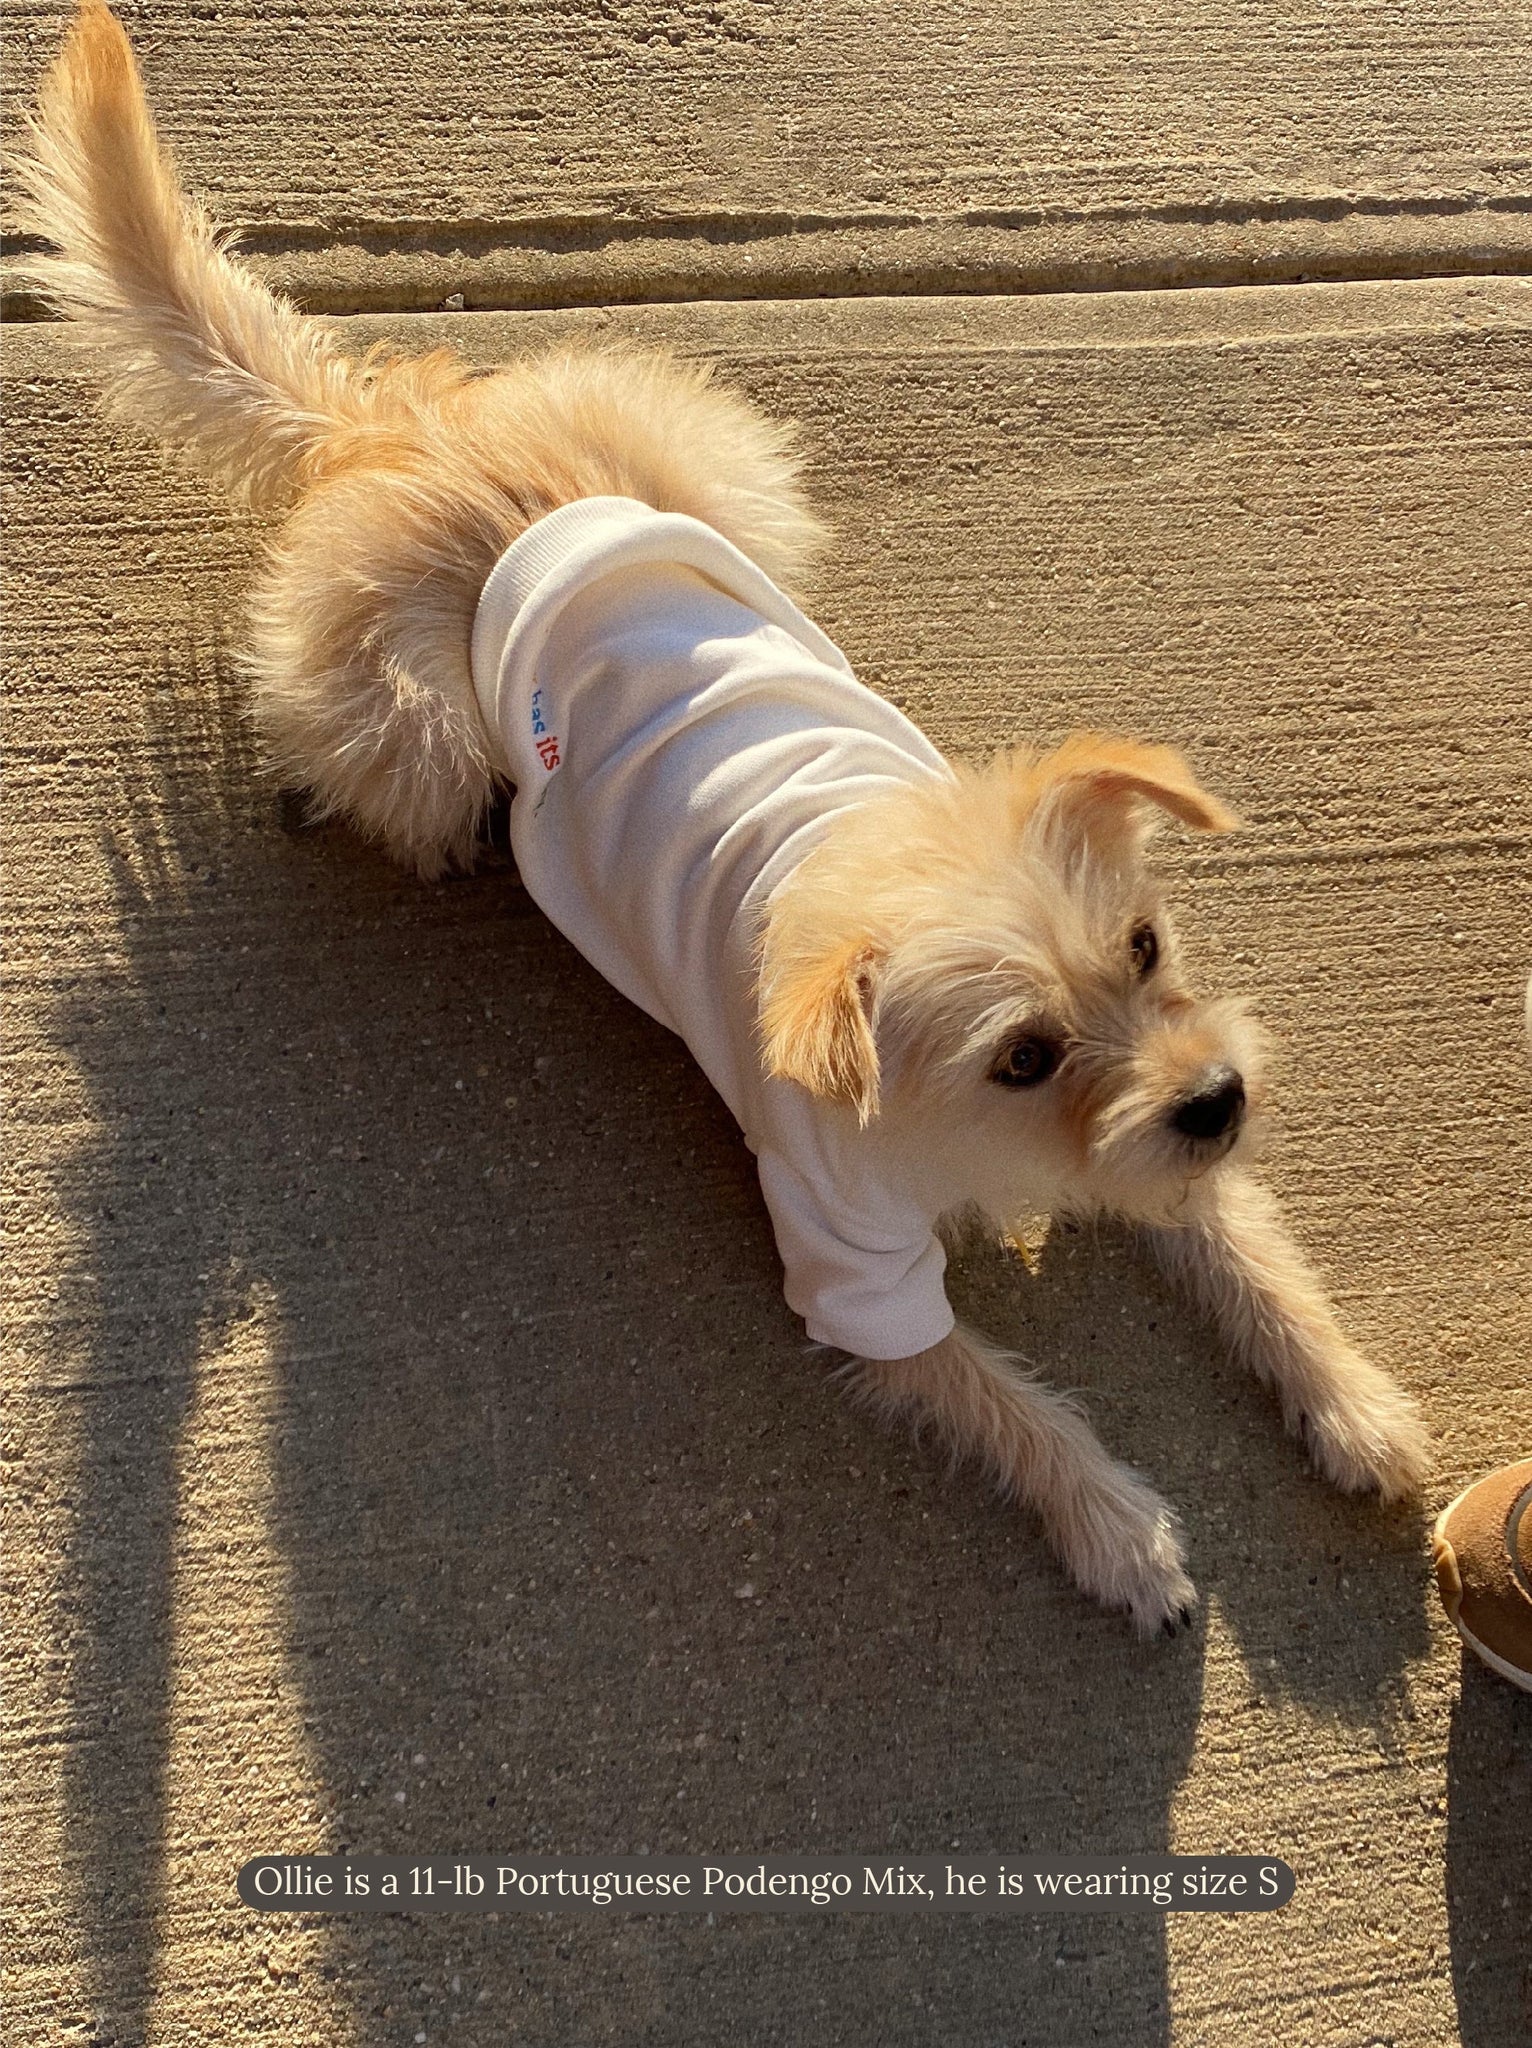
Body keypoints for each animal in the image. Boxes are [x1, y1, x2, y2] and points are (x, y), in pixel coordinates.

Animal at [11, 0, 1433, 1630]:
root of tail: (406, 434)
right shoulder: (855, 1274)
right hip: (417, 731)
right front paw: (1117, 1525)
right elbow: (1010, 1400)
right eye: (1020, 1054)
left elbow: (1252, 1253)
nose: (1220, 1098)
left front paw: (1352, 1402)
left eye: (1145, 946)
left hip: (724, 483)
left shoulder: (1168, 1135)